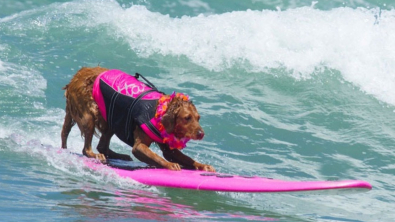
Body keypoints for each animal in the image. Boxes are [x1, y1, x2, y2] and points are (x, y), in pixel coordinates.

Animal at [61, 66, 217, 172]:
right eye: (187, 118)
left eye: (198, 118)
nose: (201, 134)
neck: (157, 112)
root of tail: (77, 75)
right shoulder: (139, 146)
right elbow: (157, 157)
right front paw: (170, 165)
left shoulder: (168, 146)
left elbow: (181, 157)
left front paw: (202, 165)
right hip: (88, 115)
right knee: (86, 148)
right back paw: (95, 154)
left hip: (112, 115)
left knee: (102, 145)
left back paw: (118, 156)